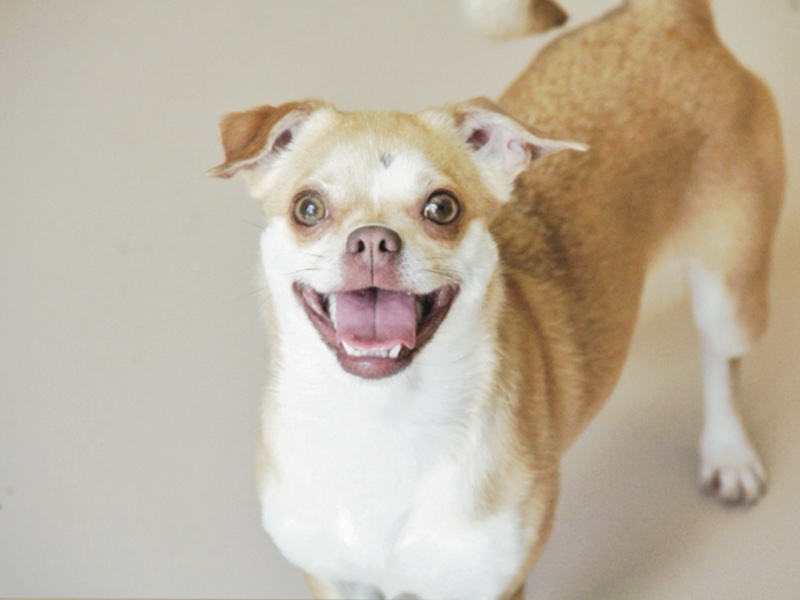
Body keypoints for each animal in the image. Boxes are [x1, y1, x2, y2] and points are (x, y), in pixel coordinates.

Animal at [208, 1, 788, 600]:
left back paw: (728, 453)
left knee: (722, 361)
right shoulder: (333, 577)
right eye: (308, 208)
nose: (371, 240)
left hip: (729, 294)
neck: (381, 418)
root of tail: (664, 18)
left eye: (442, 208)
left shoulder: (489, 583)